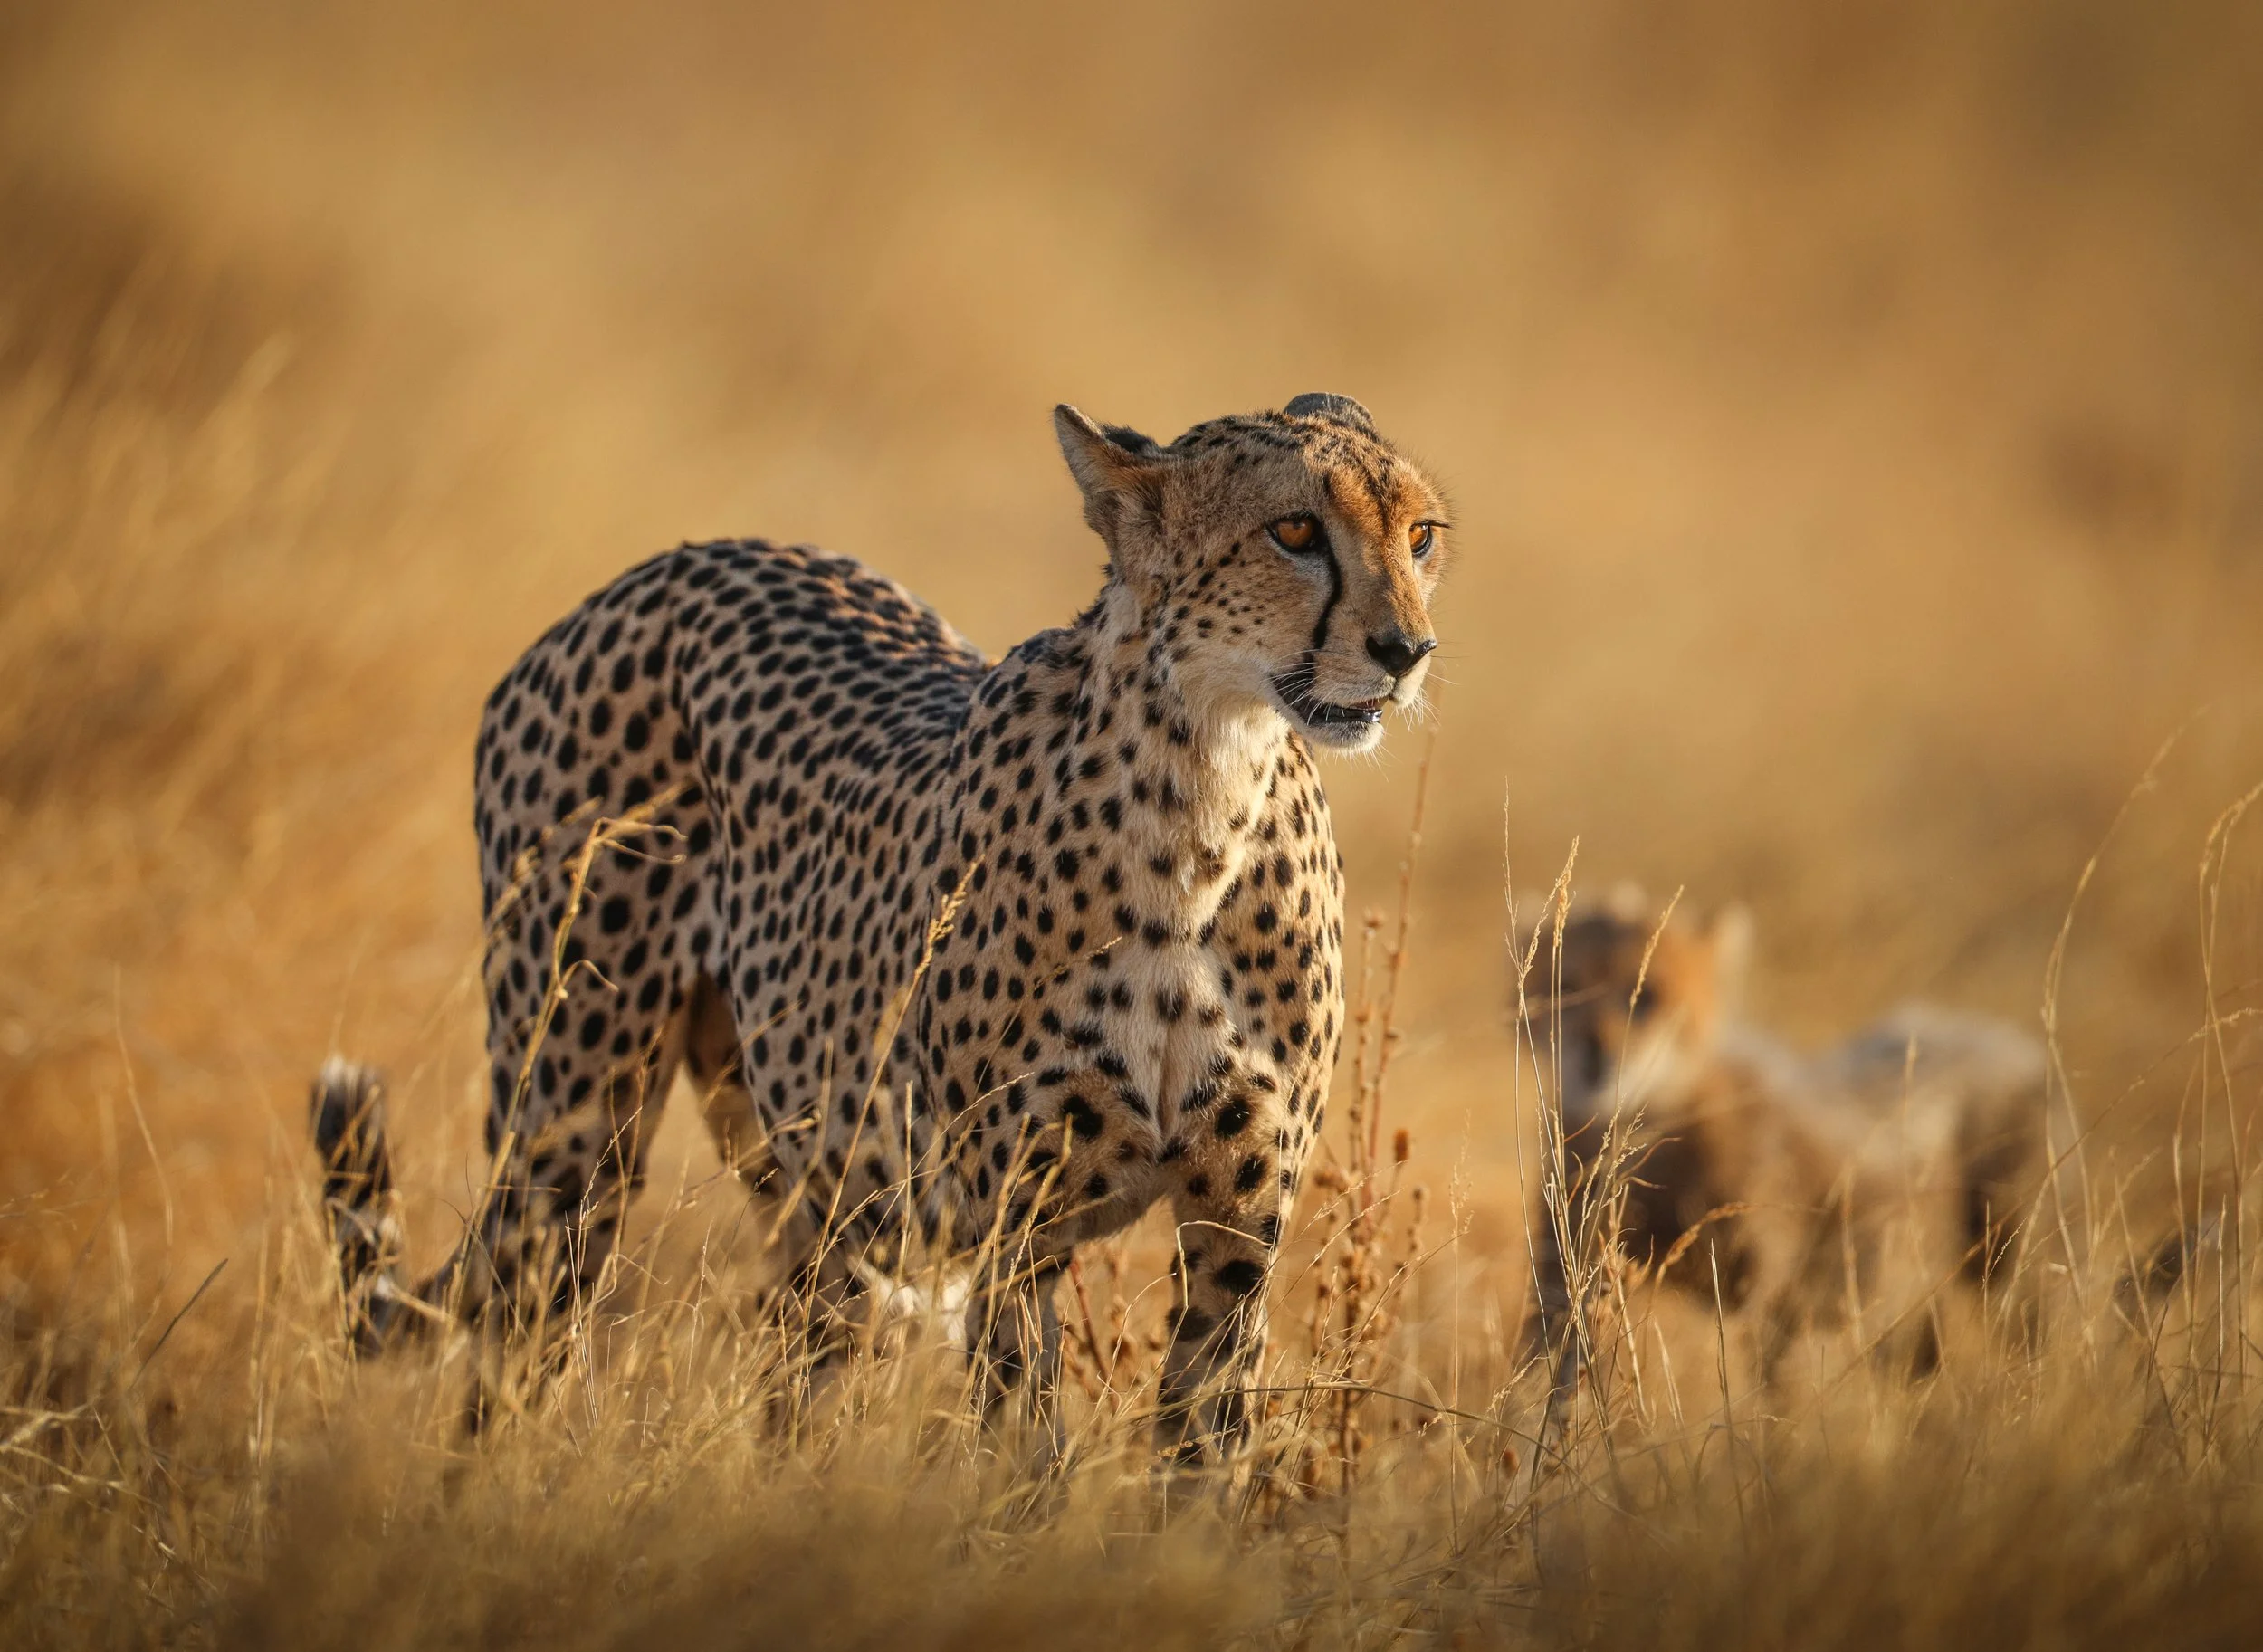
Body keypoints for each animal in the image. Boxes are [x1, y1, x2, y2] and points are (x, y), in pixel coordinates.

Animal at [310, 392, 1451, 1463]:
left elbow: (1201, 1449)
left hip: (820, 1189)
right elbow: (1025, 1445)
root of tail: (657, 569)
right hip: (576, 1128)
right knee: (513, 1356)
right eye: (1294, 531)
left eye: (1420, 535)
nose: (1405, 650)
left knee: (797, 1369)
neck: (1204, 795)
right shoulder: (1014, 1229)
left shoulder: (1234, 1232)